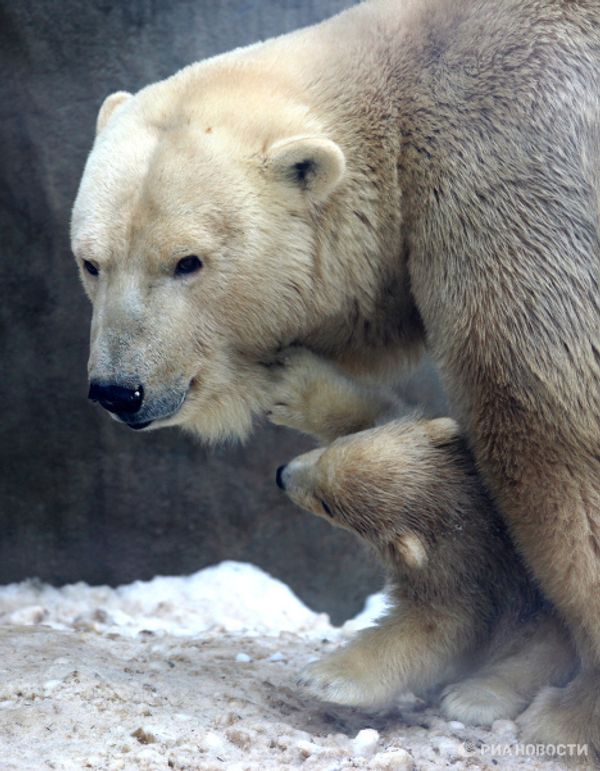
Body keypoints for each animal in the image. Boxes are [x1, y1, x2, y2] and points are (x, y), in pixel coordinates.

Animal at [272, 349, 575, 723]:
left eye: (328, 506)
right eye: (333, 450)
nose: (281, 474)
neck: (467, 508)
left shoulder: (462, 576)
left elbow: (430, 630)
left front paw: (325, 679)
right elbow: (379, 410)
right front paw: (291, 383)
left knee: (537, 656)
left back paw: (473, 697)